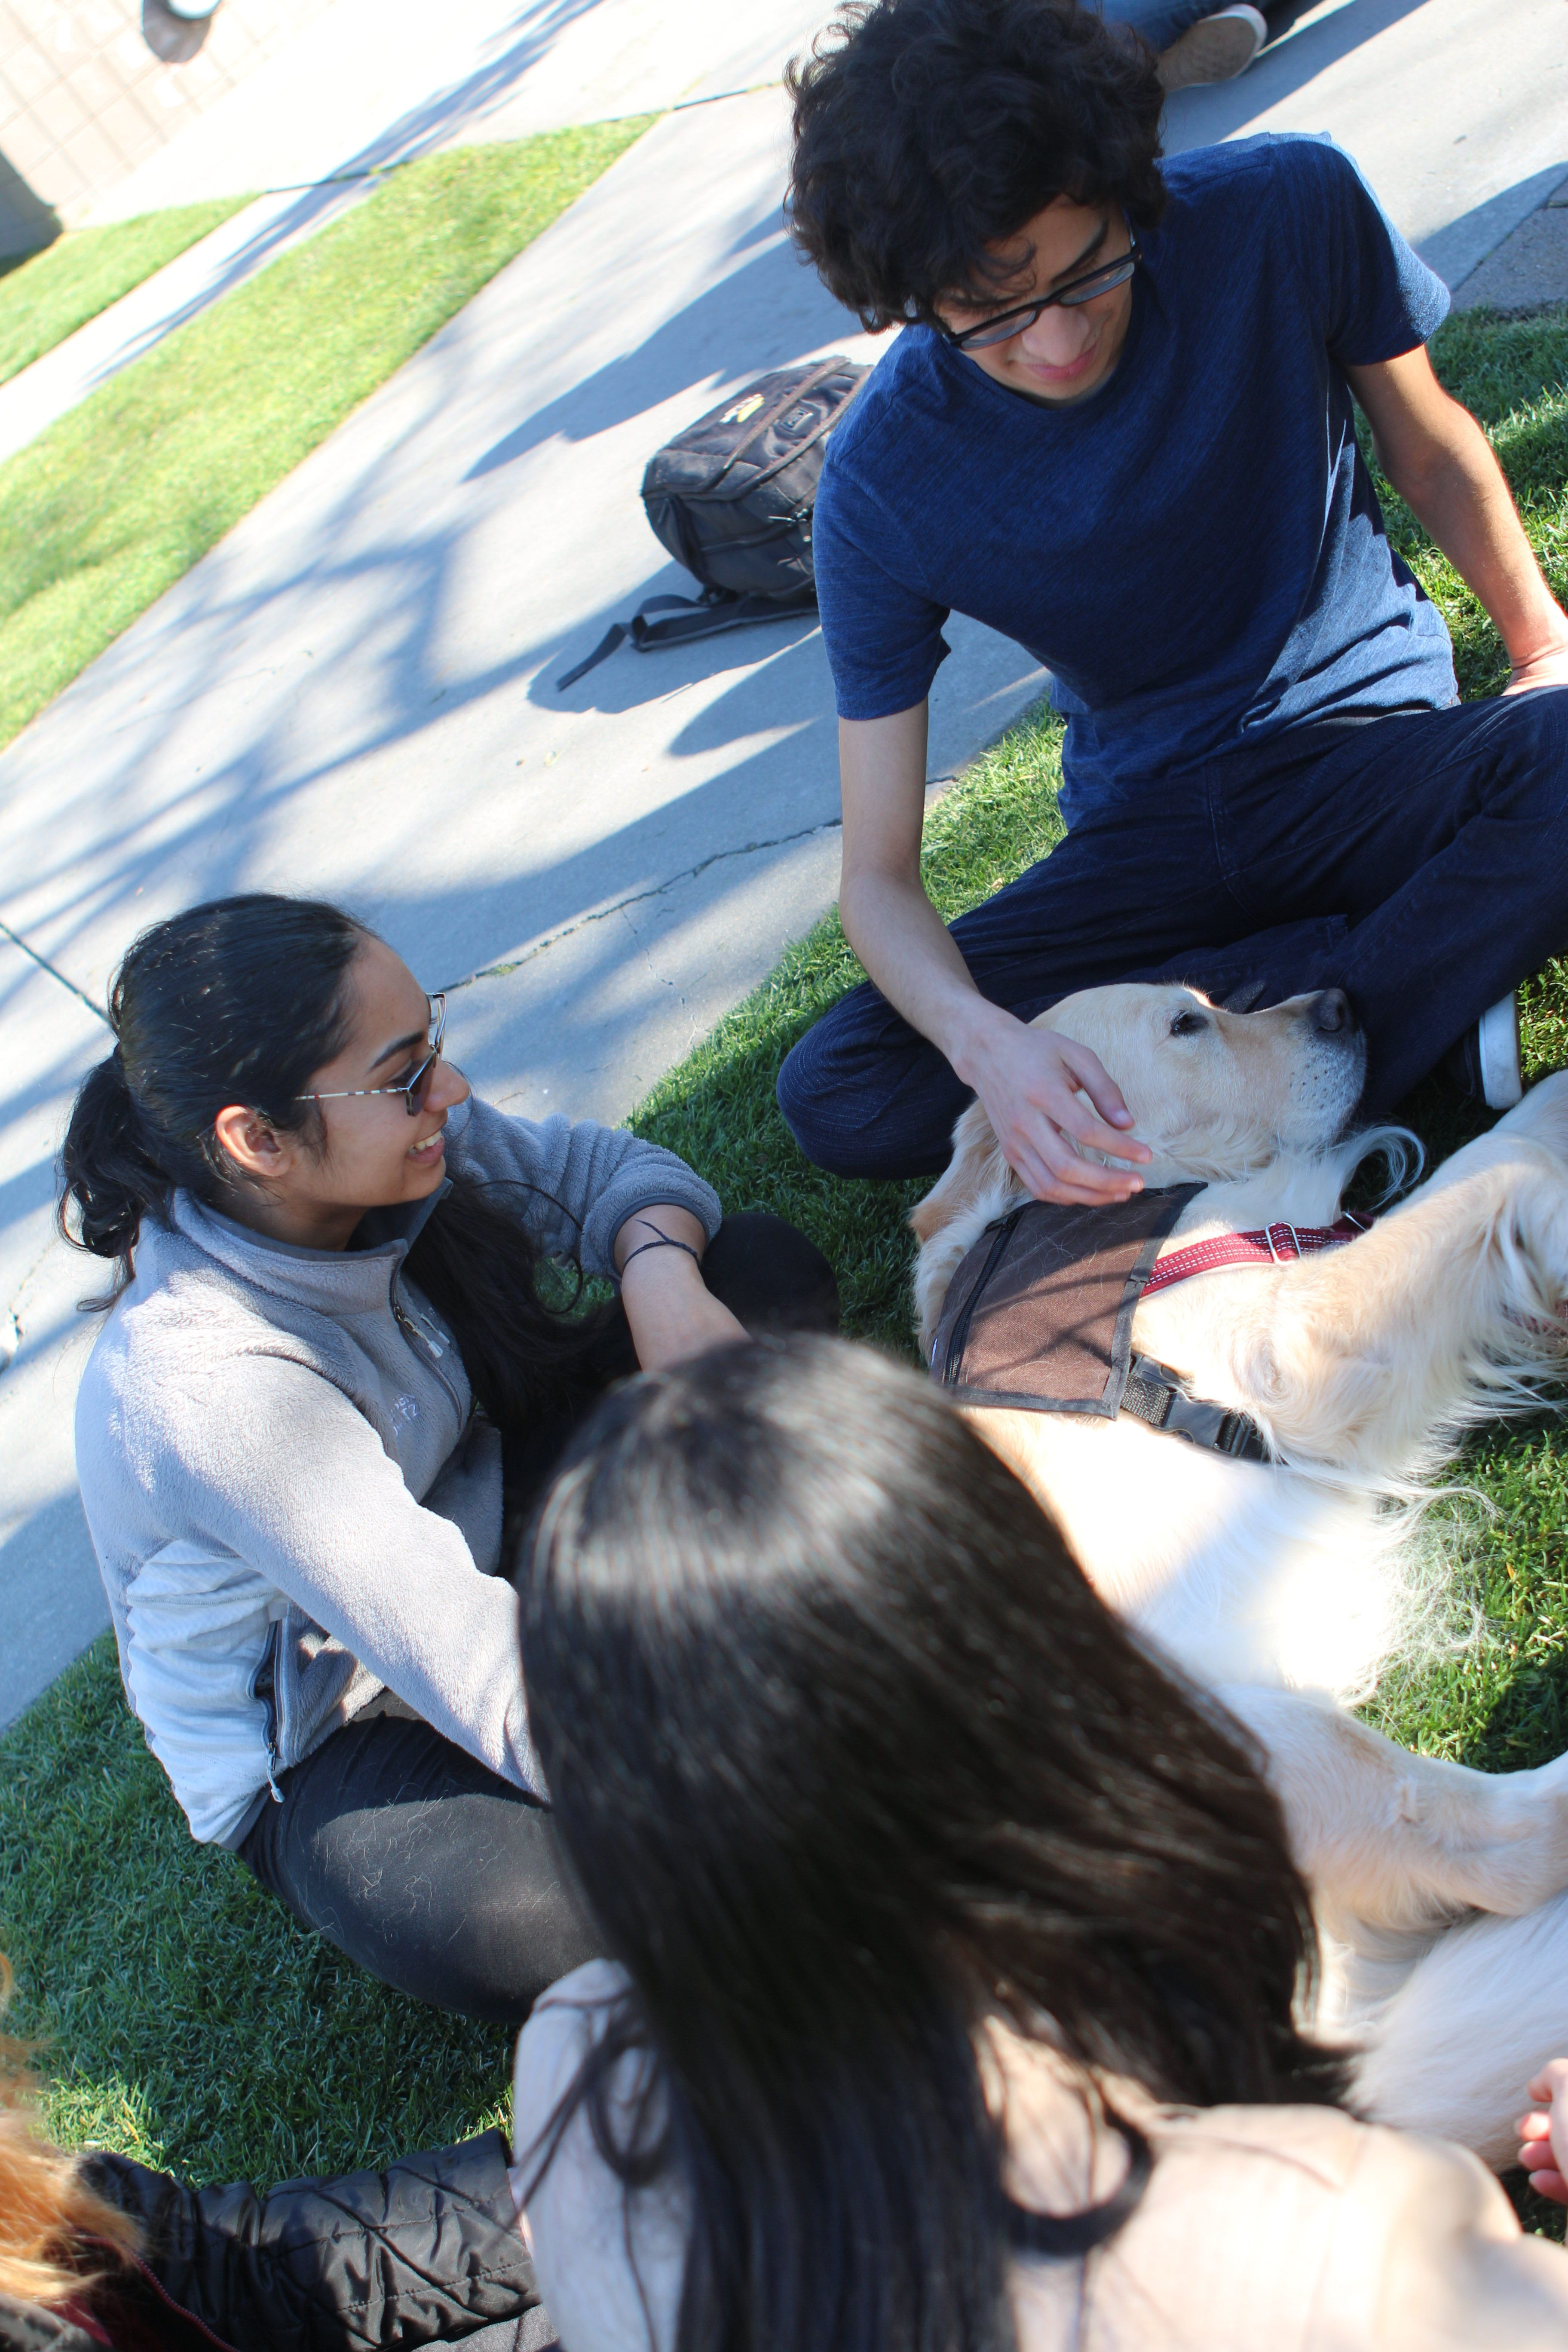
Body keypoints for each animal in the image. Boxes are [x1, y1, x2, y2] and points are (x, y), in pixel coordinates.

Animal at [912, 983, 1568, 2154]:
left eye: (1213, 998)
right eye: (1187, 1024)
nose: (1344, 1001)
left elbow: (1481, 1157)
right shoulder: (1289, 1334)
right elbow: (1491, 1173)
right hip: (1222, 1734)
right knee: (1480, 1833)